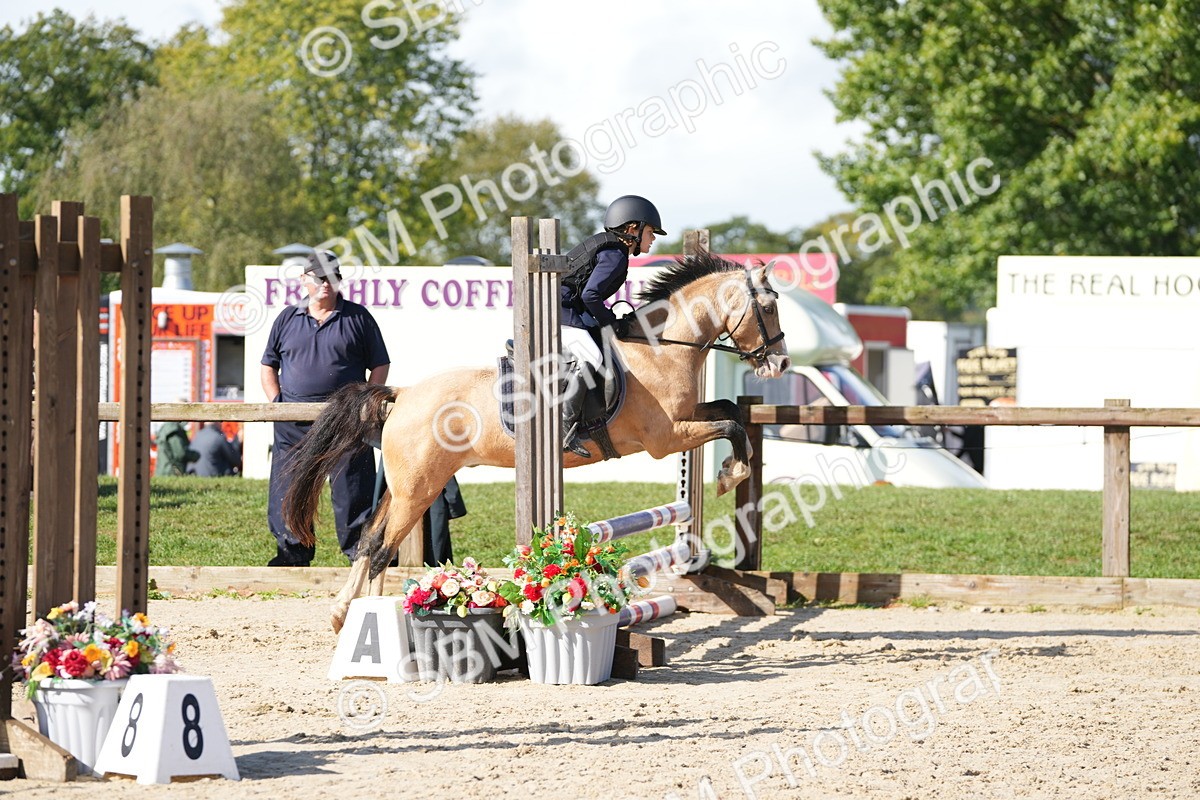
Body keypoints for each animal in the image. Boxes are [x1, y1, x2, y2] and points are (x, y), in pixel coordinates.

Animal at [283, 252, 791, 632]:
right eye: (768, 308)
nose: (781, 365)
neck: (662, 347)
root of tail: (404, 393)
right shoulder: (665, 438)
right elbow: (732, 426)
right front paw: (731, 475)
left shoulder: (686, 419)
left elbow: (729, 411)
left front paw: (730, 469)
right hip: (418, 489)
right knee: (382, 549)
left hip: (407, 485)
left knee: (370, 542)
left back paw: (344, 615)